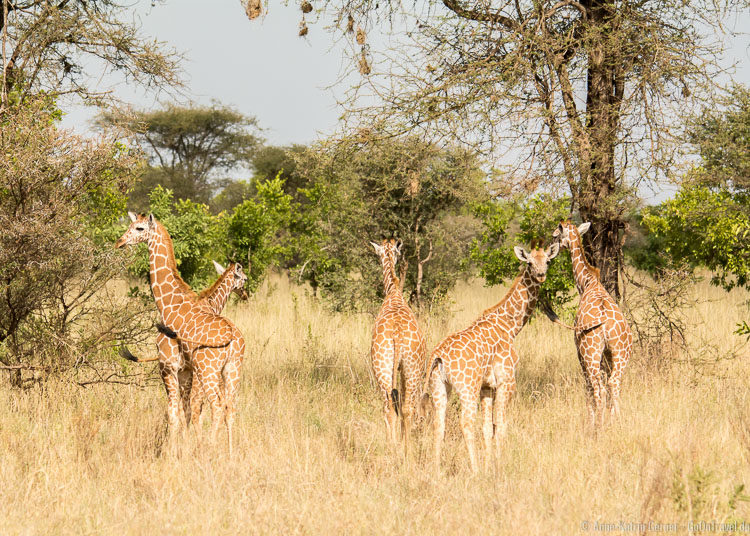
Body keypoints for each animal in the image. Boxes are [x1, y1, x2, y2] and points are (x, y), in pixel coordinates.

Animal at [372, 237, 428, 454]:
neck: (393, 292)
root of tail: (396, 334)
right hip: (410, 369)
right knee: (404, 407)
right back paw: (405, 449)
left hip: (384, 367)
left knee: (389, 406)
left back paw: (392, 447)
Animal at [424, 243, 560, 474]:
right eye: (529, 263)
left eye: (548, 261)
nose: (541, 275)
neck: (510, 326)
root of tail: (438, 356)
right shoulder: (507, 381)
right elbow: (501, 424)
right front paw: (498, 465)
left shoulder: (487, 387)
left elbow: (488, 427)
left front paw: (490, 465)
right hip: (467, 387)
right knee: (466, 423)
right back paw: (475, 470)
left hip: (439, 387)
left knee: (438, 424)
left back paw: (436, 470)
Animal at [552, 221, 636, 428]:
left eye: (555, 235)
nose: (550, 249)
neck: (588, 283)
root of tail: (605, 324)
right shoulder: (607, 355)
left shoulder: (579, 353)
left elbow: (588, 388)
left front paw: (590, 422)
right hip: (621, 353)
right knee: (614, 383)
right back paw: (616, 422)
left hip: (590, 353)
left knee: (599, 388)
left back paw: (598, 425)